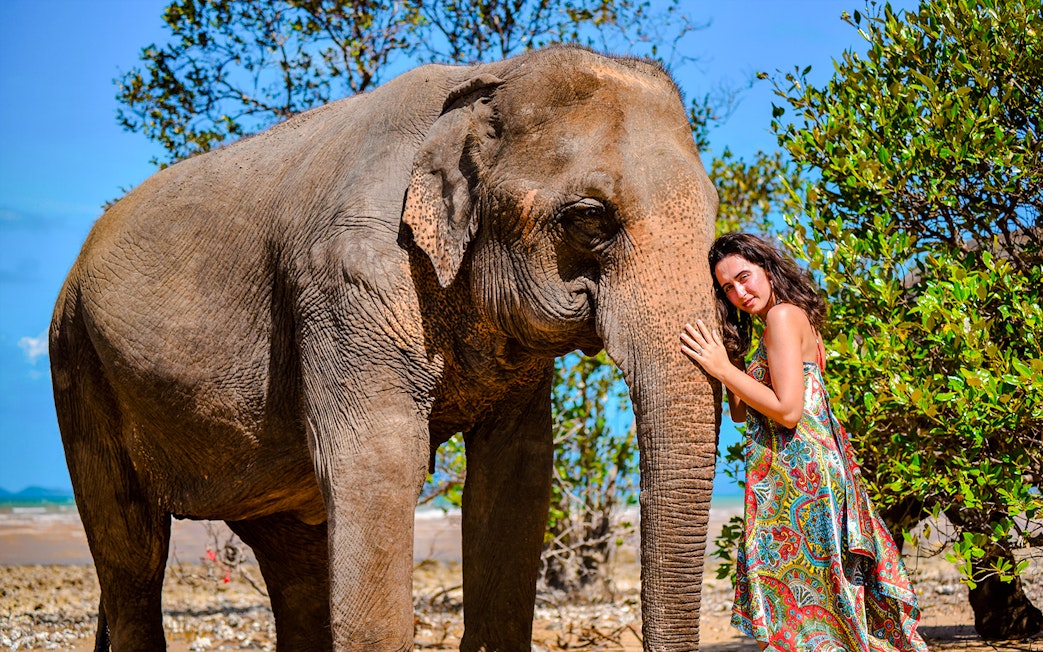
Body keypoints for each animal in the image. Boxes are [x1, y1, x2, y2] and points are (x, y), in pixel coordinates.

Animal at [49, 44, 721, 651]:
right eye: (589, 218)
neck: (485, 79)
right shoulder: (348, 283)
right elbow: (380, 461)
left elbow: (517, 474)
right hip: (78, 362)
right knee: (132, 552)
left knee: (293, 565)